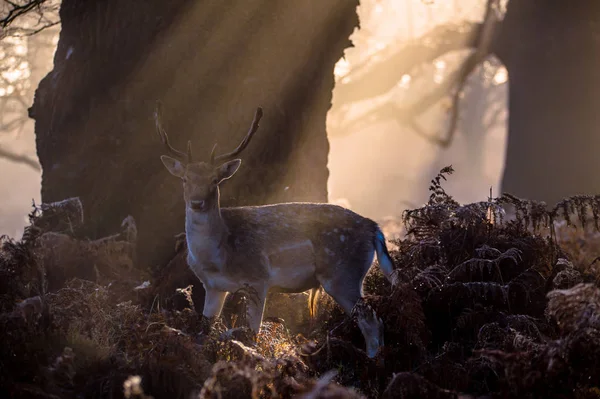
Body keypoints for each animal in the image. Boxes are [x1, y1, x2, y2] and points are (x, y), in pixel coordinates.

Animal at [156, 101, 394, 358]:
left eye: (214, 180)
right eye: (185, 179)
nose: (197, 203)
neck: (218, 257)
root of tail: (374, 228)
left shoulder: (258, 279)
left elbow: (252, 335)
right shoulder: (213, 287)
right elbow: (203, 334)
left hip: (342, 274)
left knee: (372, 321)